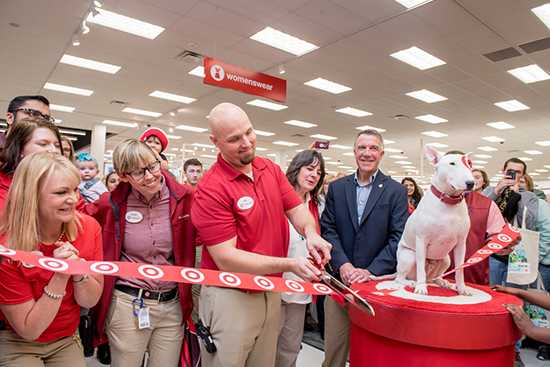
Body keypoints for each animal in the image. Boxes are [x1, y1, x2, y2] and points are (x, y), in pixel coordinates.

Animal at [396, 145, 474, 298]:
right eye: (452, 163)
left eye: (469, 163)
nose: (471, 183)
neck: (449, 202)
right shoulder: (422, 240)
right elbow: (421, 267)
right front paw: (421, 288)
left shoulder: (461, 243)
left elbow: (459, 269)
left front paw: (462, 288)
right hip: (410, 256)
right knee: (400, 277)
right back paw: (411, 282)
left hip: (445, 259)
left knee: (436, 276)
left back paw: (442, 282)